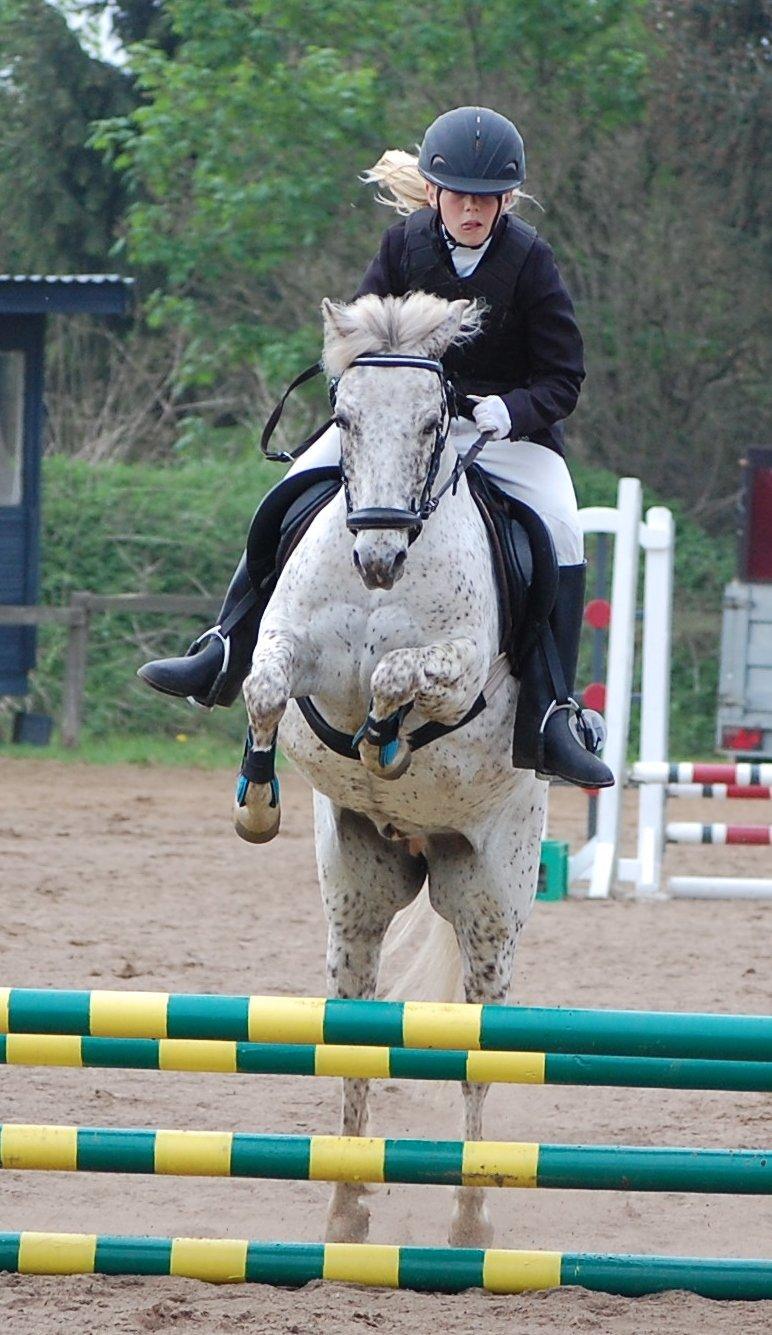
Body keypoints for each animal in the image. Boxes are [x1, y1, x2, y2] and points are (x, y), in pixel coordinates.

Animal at [238, 291, 547, 1248]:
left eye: (434, 422)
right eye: (343, 418)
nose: (376, 558)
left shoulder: (456, 667)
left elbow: (397, 678)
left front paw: (386, 740)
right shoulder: (290, 647)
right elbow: (264, 684)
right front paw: (257, 799)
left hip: (491, 904)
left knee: (482, 1051)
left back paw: (472, 1216)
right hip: (358, 888)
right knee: (355, 1030)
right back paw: (345, 1202)